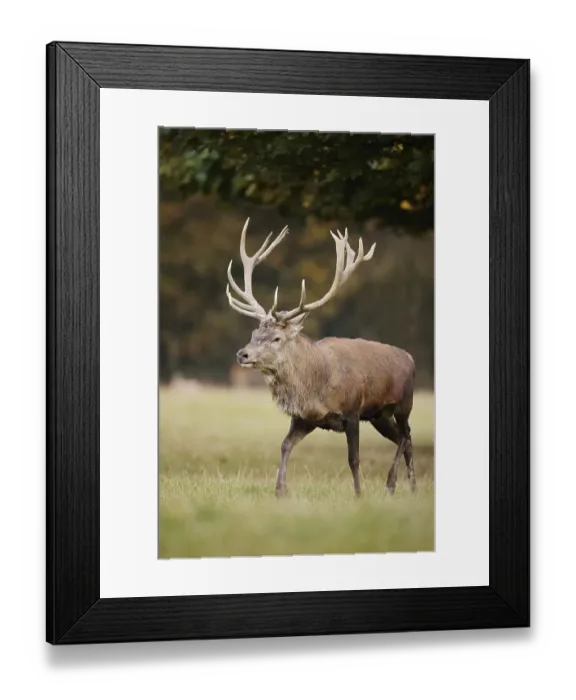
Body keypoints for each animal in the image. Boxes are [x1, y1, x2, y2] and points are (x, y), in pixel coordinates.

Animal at [226, 218, 417, 498]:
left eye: (276, 338)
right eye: (254, 333)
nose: (243, 354)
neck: (317, 387)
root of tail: (411, 359)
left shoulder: (352, 411)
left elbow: (353, 458)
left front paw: (358, 495)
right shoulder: (305, 418)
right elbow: (284, 445)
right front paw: (280, 491)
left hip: (404, 403)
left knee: (404, 436)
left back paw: (391, 485)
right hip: (380, 415)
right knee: (407, 439)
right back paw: (413, 489)